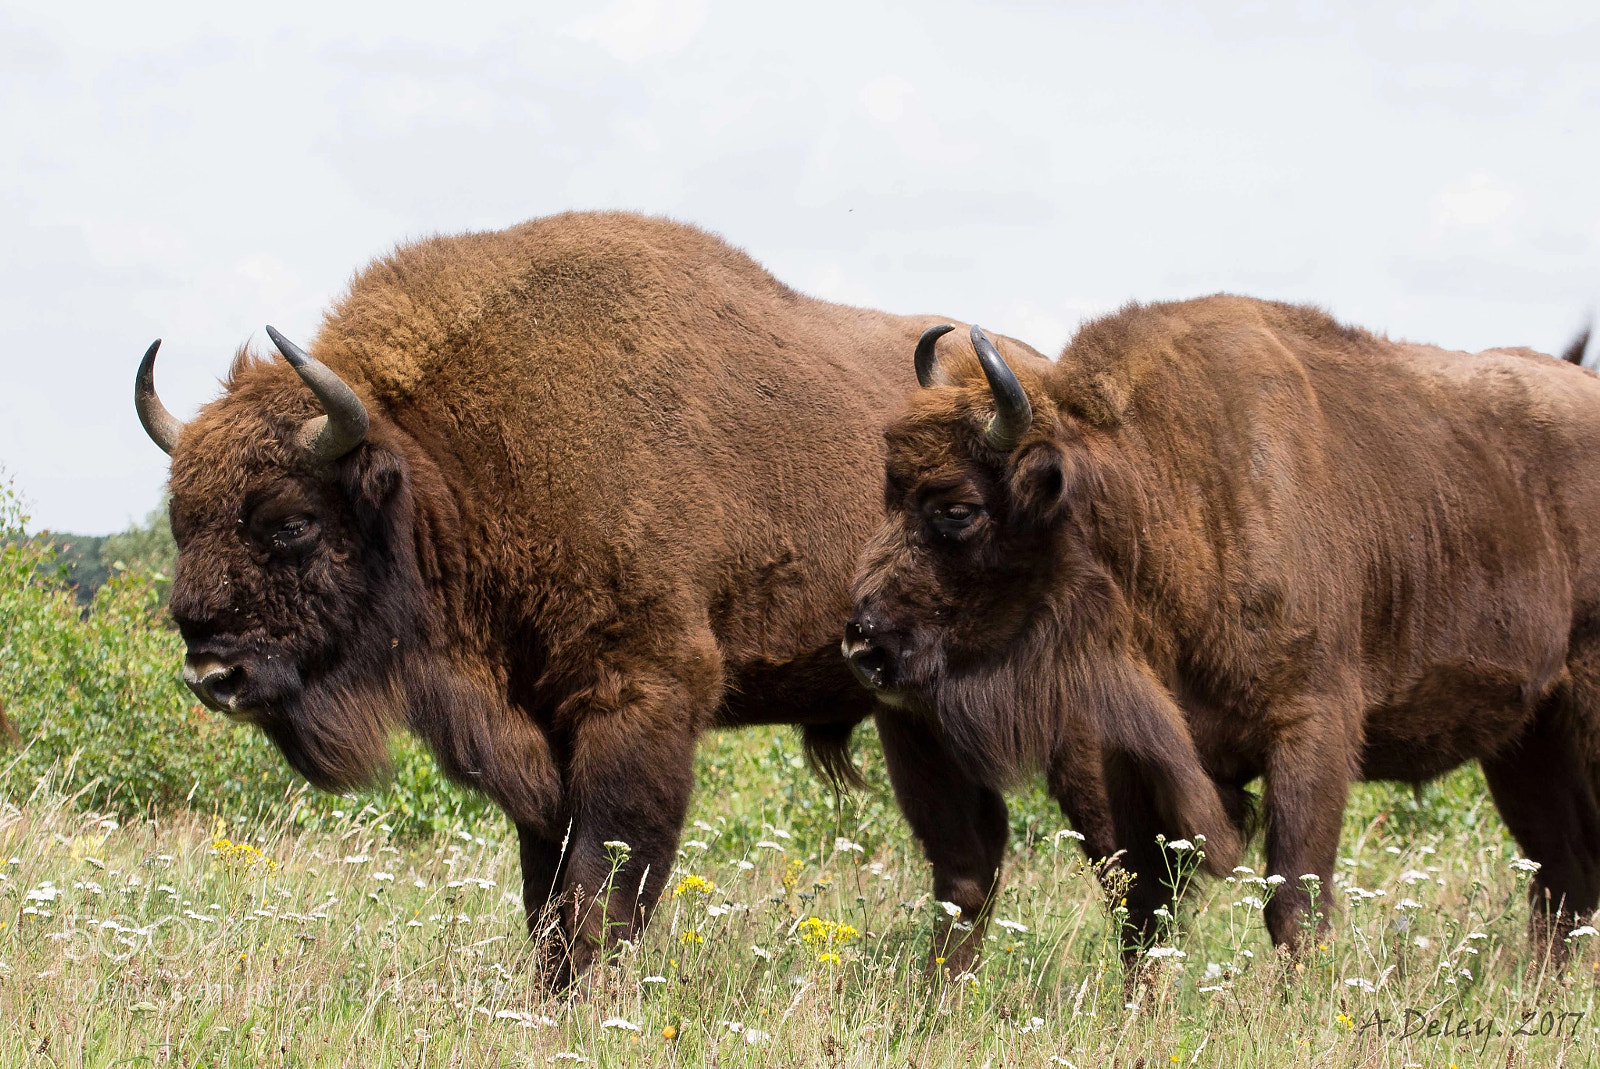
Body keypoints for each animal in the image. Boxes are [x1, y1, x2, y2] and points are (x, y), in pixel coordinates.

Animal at [131, 211, 1048, 984]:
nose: (212, 675)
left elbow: (601, 884)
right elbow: (546, 885)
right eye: (182, 519)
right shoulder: (539, 727)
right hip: (911, 715)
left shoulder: (640, 696)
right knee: (968, 857)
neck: (449, 465)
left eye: (290, 522)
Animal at [844, 297, 1600, 971]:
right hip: (1525, 741)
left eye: (958, 508)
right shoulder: (1137, 752)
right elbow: (1144, 906)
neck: (1171, 492)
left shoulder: (1310, 734)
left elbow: (1292, 904)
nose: (864, 645)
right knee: (1561, 877)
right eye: (888, 491)